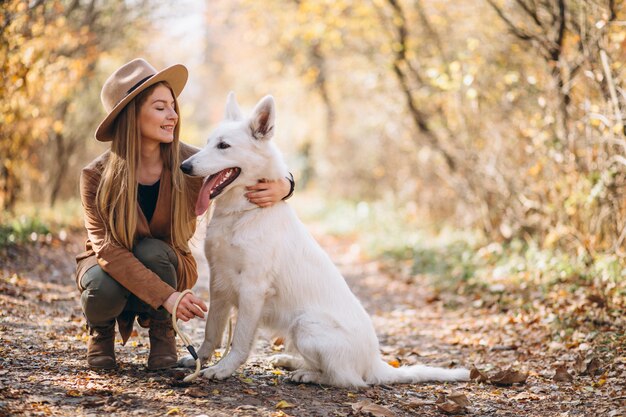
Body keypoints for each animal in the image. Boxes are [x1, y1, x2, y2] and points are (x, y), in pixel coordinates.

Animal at [178, 94, 466, 386]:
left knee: (345, 378)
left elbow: (239, 341)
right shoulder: (219, 284)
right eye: (208, 143)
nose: (184, 166)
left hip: (305, 325)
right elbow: (212, 331)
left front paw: (223, 369)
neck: (242, 214)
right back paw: (290, 362)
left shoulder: (252, 289)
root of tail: (375, 362)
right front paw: (199, 359)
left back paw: (306, 374)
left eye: (224, 146)